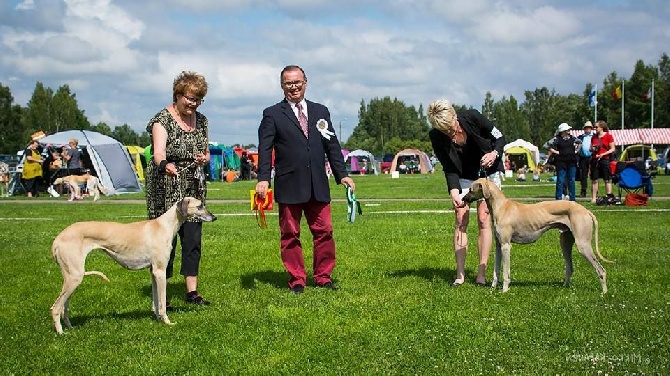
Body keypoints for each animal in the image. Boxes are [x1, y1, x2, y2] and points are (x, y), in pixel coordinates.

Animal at [51, 197, 218, 334]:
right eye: (200, 206)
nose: (214, 217)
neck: (164, 225)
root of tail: (57, 240)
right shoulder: (160, 271)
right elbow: (162, 301)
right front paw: (167, 322)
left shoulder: (153, 272)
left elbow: (156, 300)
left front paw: (158, 318)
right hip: (75, 277)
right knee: (56, 307)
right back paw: (61, 333)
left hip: (72, 277)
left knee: (64, 307)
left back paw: (70, 327)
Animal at [462, 178, 616, 294]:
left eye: (470, 189)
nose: (463, 199)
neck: (501, 207)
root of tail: (585, 210)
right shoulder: (499, 246)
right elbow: (496, 271)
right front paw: (493, 288)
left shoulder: (506, 246)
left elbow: (506, 272)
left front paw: (505, 290)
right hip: (565, 242)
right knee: (570, 267)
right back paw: (564, 287)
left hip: (583, 245)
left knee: (601, 270)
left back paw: (604, 292)